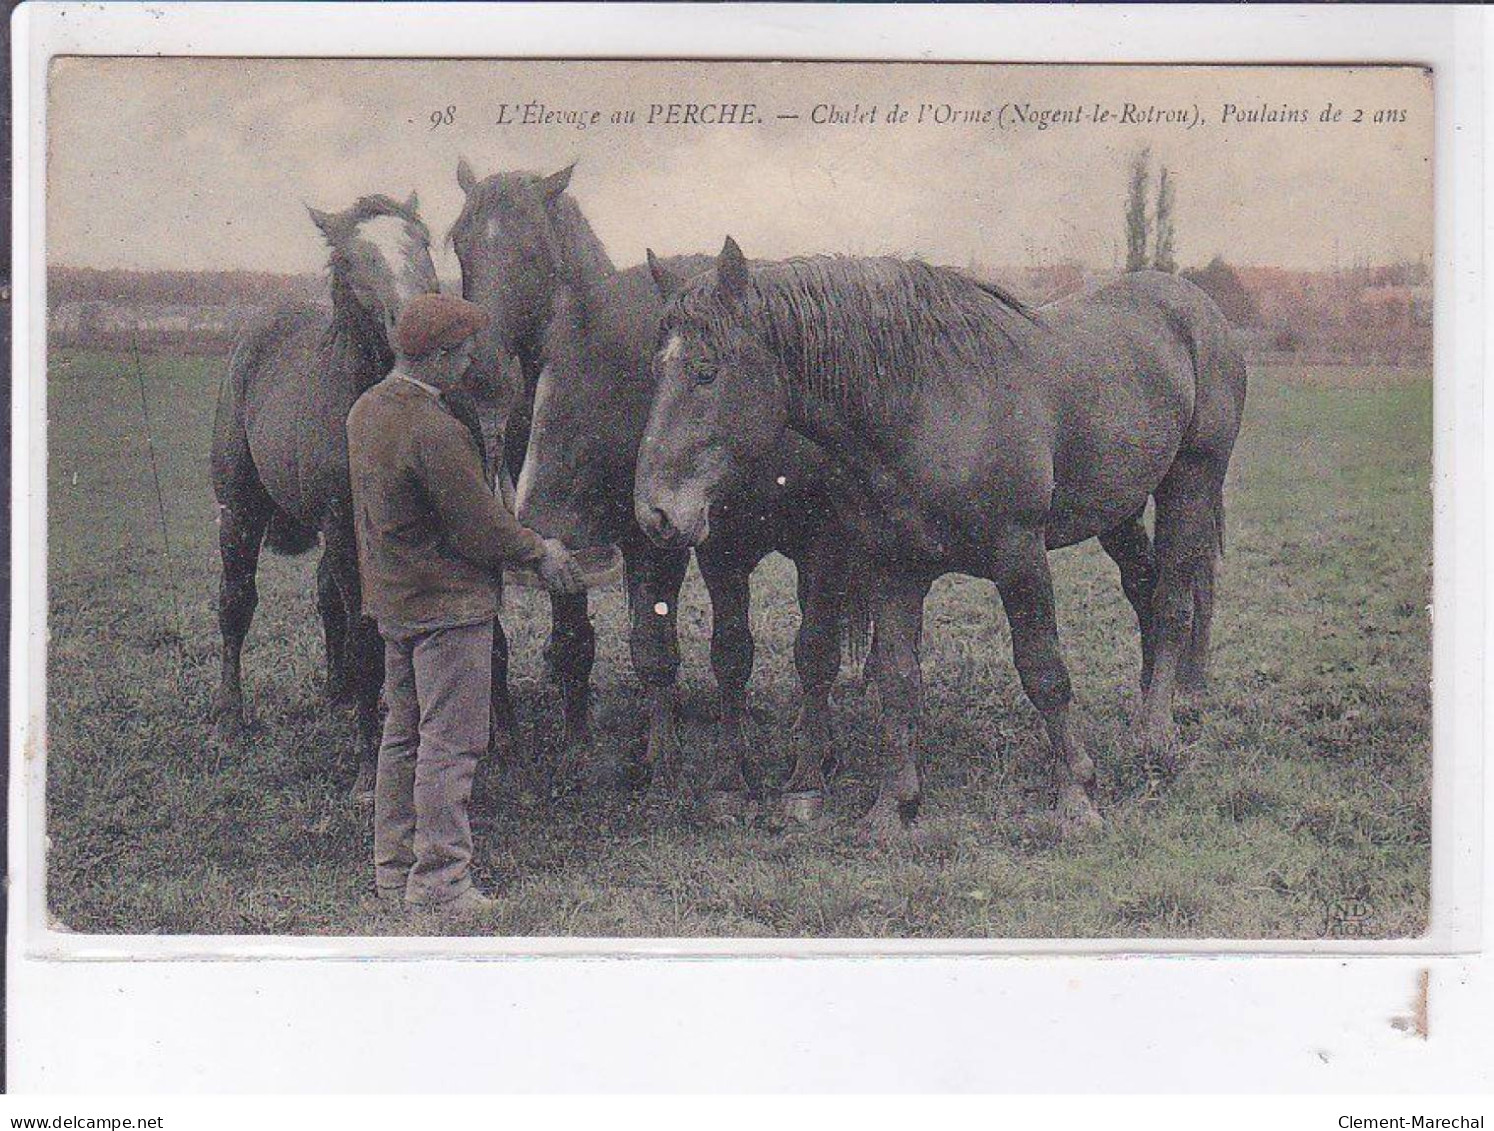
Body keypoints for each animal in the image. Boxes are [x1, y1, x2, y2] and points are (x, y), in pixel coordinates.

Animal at [212, 194, 442, 794]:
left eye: (423, 241)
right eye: (351, 257)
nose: (418, 323)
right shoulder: (343, 529)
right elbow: (365, 631)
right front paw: (367, 766)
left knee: (323, 596)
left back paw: (339, 691)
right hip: (239, 513)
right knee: (236, 601)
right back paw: (230, 718)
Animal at [448, 163, 872, 806]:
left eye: (532, 250)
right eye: (456, 245)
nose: (481, 371)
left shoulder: (808, 542)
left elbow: (793, 652)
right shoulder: (675, 544)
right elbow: (636, 648)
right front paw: (621, 757)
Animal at [636, 240, 1243, 836]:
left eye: (706, 371)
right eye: (656, 373)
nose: (655, 512)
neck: (931, 406)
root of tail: (1196, 305)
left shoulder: (1020, 558)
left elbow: (1043, 670)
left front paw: (1077, 796)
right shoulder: (896, 567)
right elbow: (899, 681)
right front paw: (893, 807)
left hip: (1190, 482)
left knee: (1174, 602)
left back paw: (1157, 730)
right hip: (1118, 509)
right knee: (1145, 590)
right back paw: (1151, 705)